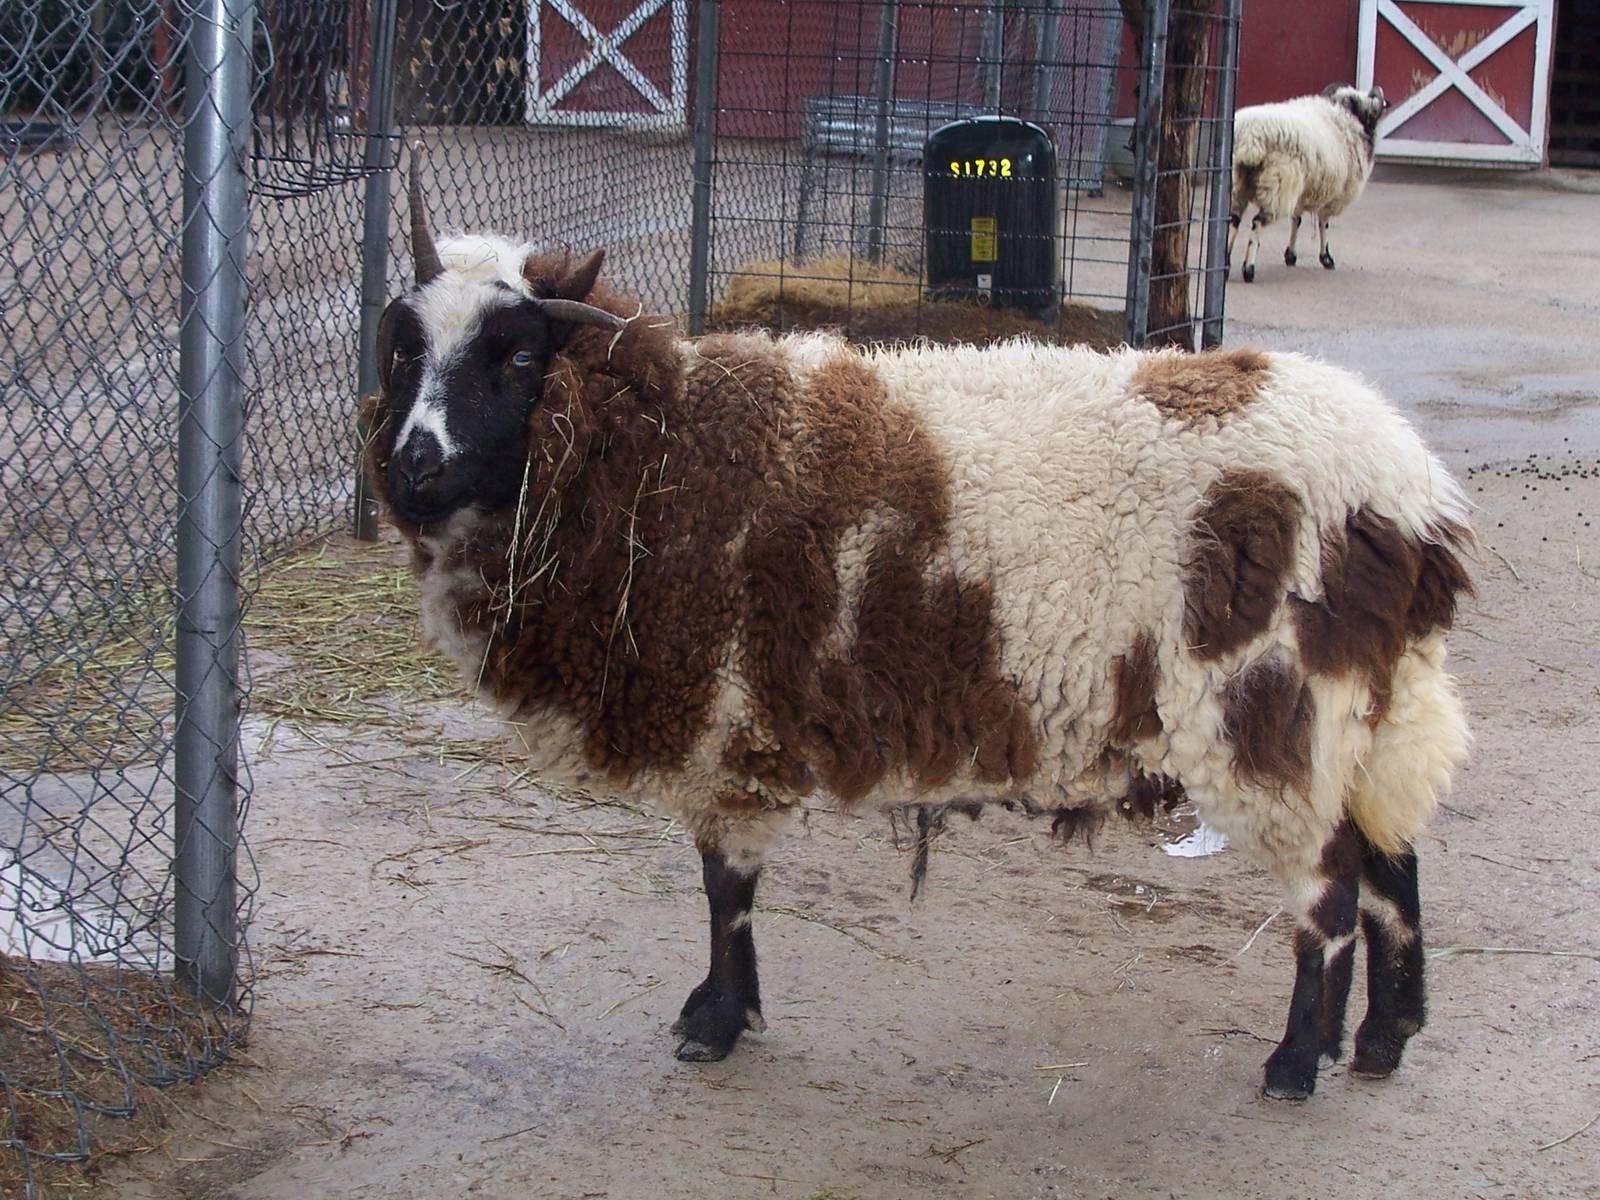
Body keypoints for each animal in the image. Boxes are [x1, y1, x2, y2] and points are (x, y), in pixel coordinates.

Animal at [360, 176, 1473, 1101]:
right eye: (406, 350)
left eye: (516, 357)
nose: (415, 466)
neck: (665, 451)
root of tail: (1414, 497)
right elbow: (728, 885)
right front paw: (731, 1011)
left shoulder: (728, 714)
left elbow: (724, 886)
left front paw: (715, 1021)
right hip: (1357, 708)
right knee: (1391, 861)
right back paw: (1381, 1041)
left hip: (1268, 706)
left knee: (1330, 891)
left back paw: (1296, 1062)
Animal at [1228, 84, 1389, 283]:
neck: (1348, 116)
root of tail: (1250, 140)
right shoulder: (1331, 197)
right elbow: (1323, 224)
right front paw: (1326, 258)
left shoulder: (1303, 192)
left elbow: (1296, 220)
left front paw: (1291, 255)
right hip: (1278, 188)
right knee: (1257, 223)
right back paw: (1248, 269)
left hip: (1237, 185)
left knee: (1232, 220)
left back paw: (1225, 264)